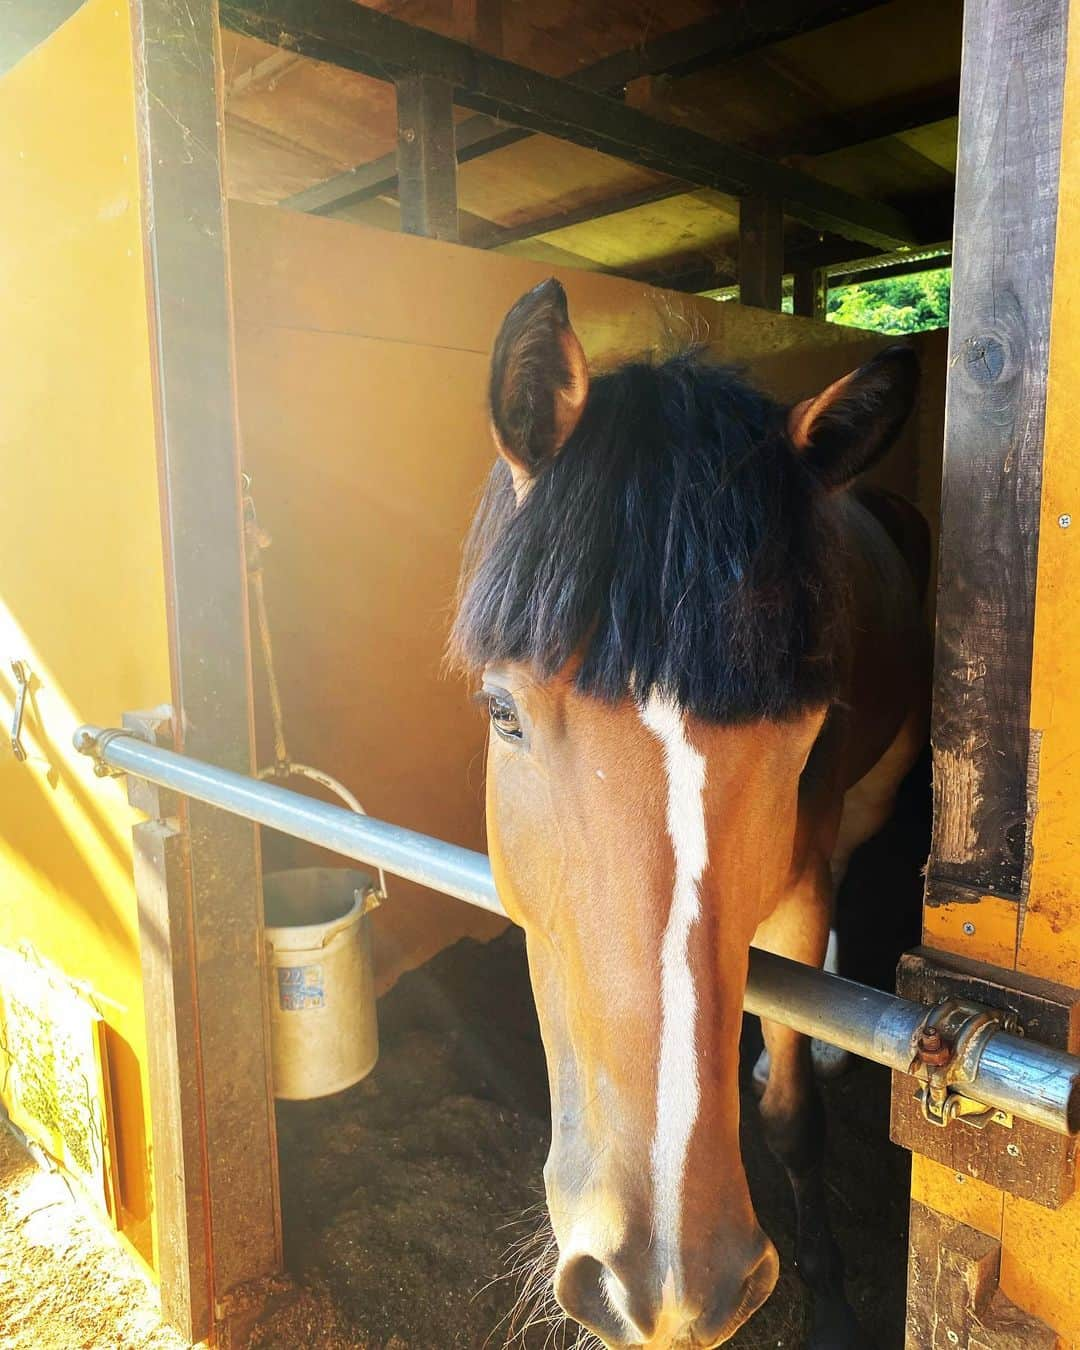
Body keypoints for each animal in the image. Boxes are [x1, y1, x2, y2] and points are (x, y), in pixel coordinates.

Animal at [450, 276, 934, 1350]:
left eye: (803, 734)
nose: (663, 1285)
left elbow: (794, 1117)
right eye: (502, 713)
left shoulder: (800, 881)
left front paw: (831, 1302)